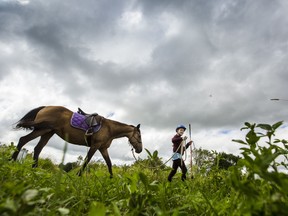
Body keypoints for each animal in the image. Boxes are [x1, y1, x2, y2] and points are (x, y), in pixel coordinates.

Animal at [10, 105, 142, 177]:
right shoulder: (95, 146)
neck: (109, 128)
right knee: (23, 140)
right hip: (42, 129)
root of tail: (45, 107)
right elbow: (86, 161)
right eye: (140, 136)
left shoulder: (102, 148)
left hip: (47, 132)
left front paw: (111, 179)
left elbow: (109, 164)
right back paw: (12, 161)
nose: (140, 150)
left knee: (37, 148)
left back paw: (35, 169)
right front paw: (78, 176)